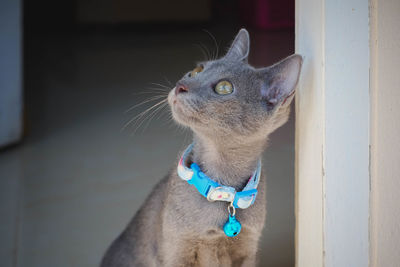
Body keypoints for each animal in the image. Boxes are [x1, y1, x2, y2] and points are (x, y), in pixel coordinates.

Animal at [101, 28, 304, 266]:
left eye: (224, 88)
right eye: (197, 70)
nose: (180, 86)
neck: (223, 188)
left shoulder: (247, 250)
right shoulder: (176, 251)